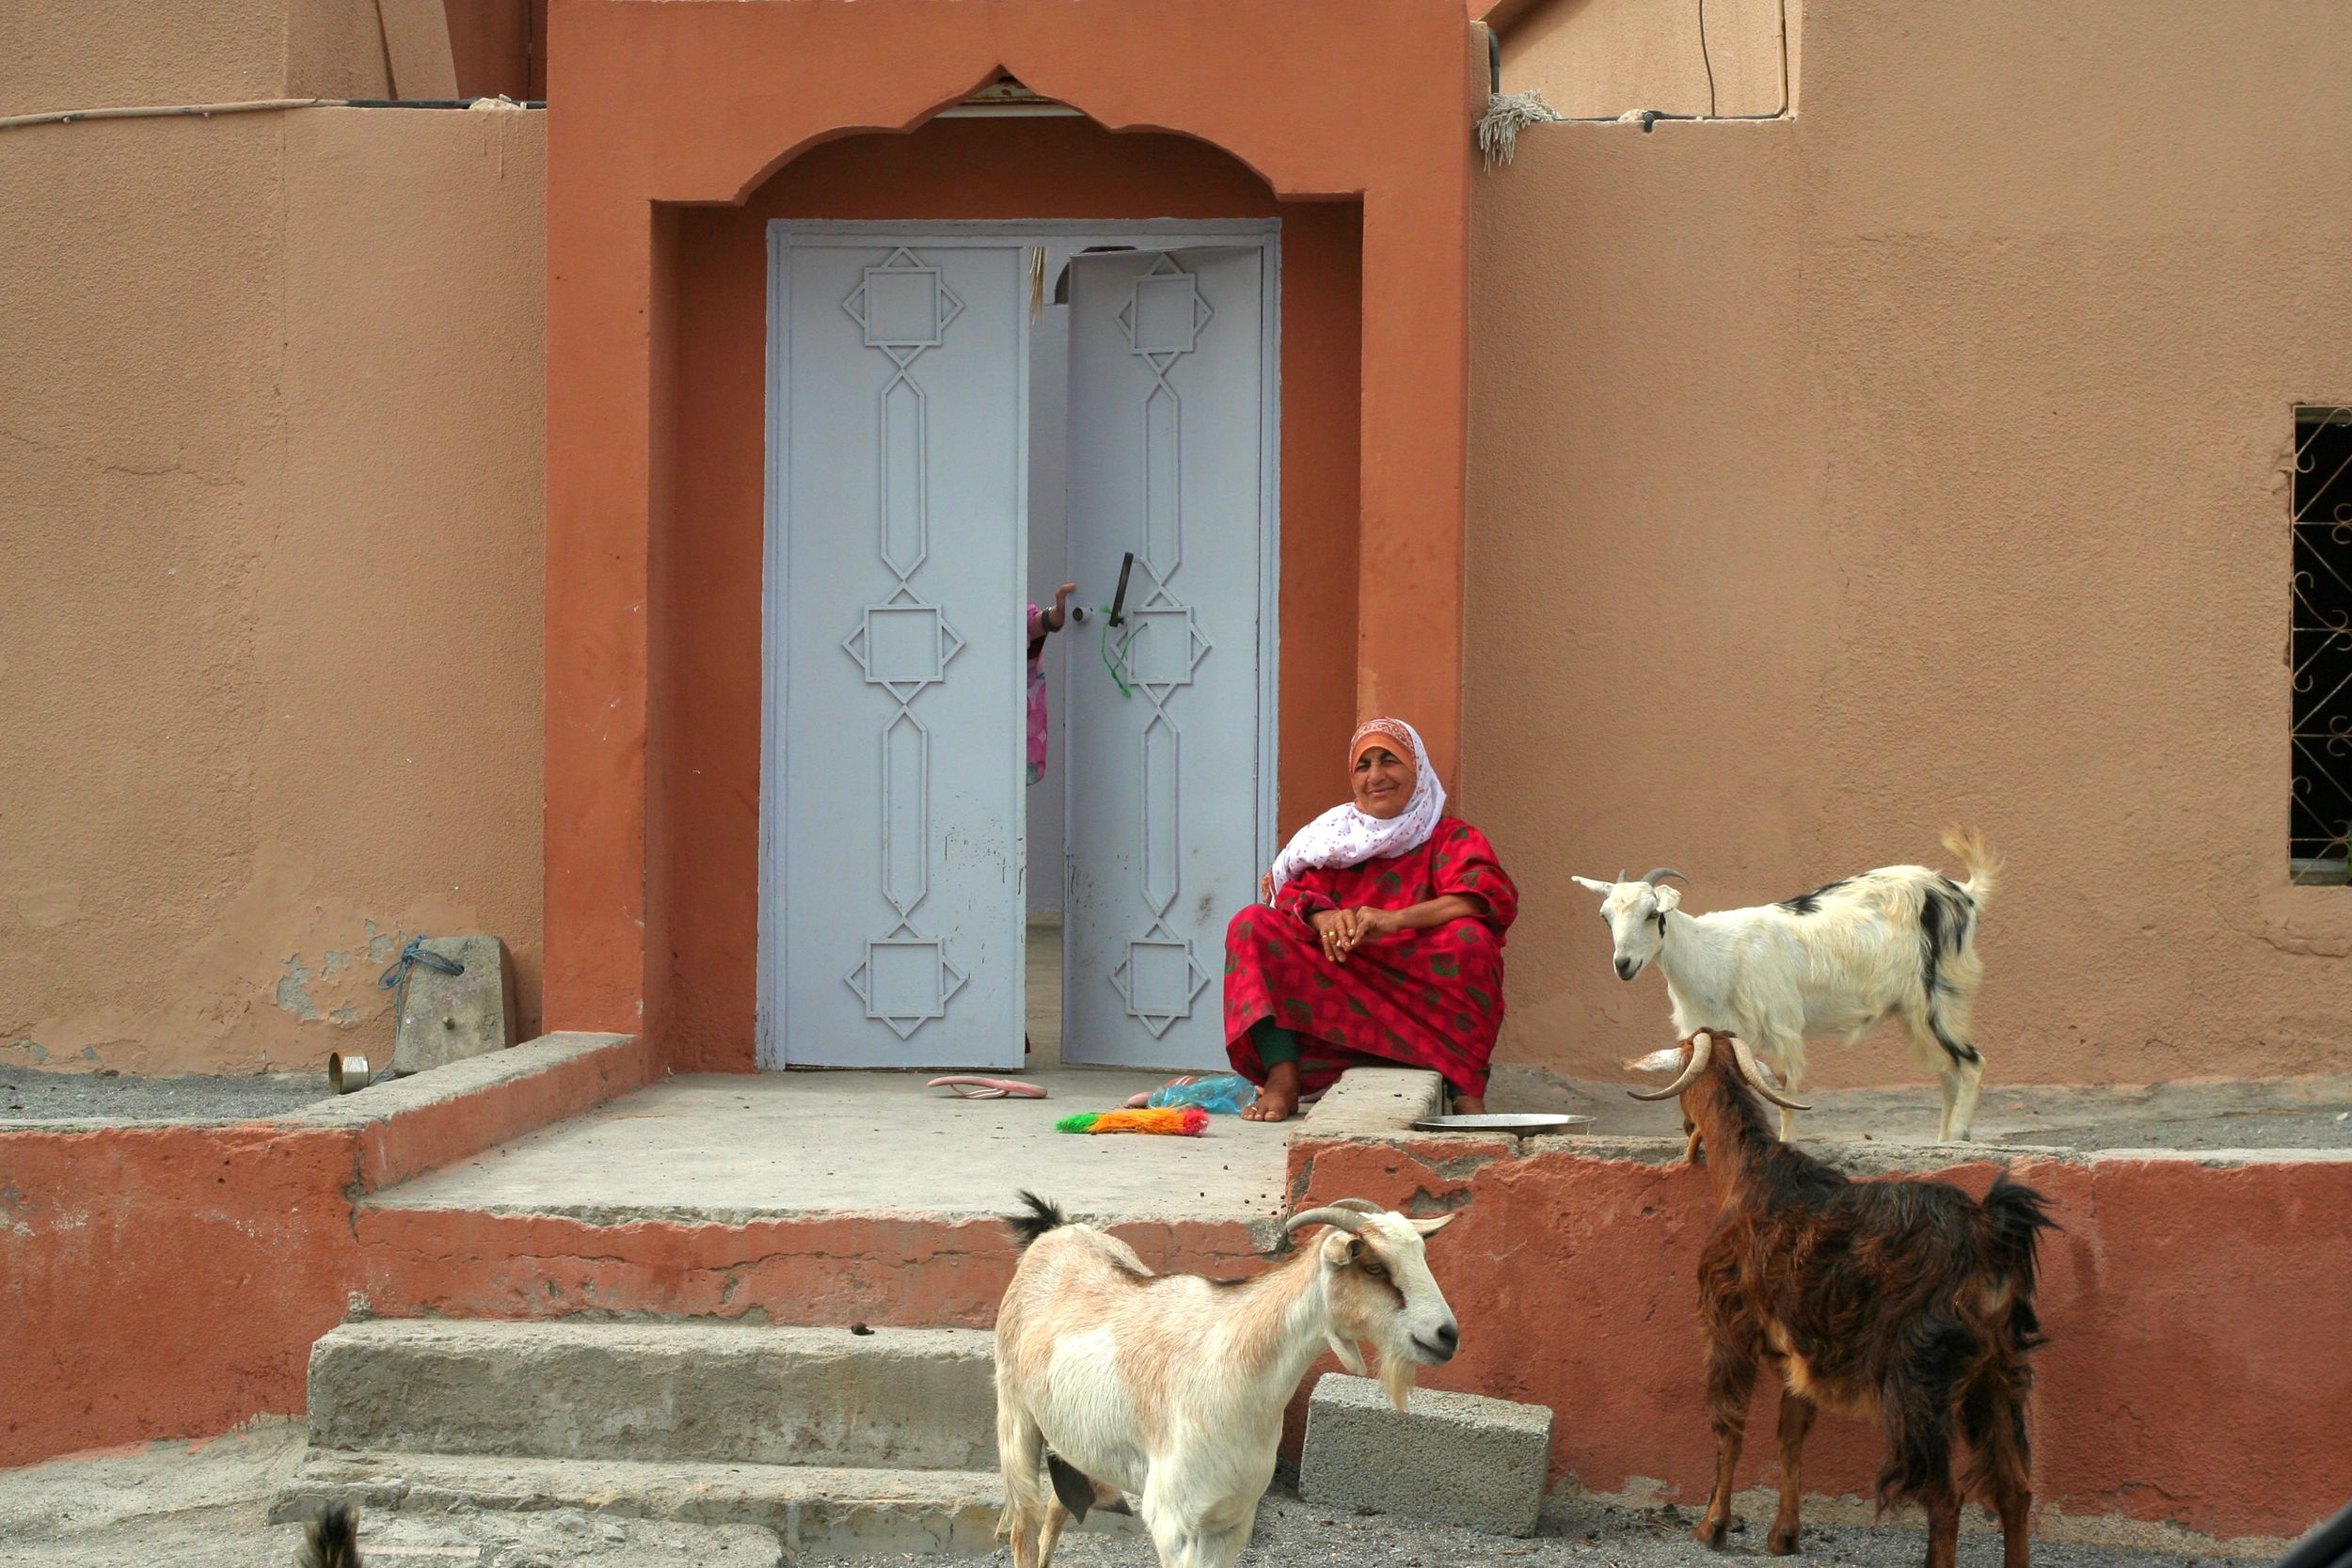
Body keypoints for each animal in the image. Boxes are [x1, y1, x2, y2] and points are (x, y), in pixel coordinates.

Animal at [988, 1189, 1449, 1568]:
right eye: (1373, 1266)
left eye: (1423, 1258)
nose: (1447, 1335)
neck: (1232, 1361)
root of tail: (1057, 1232)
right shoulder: (1173, 1522)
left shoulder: (1230, 1520)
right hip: (1015, 1416)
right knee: (1023, 1528)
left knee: (1057, 1506)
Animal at [1637, 1029, 2060, 1568]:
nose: (1686, 1127)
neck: (1747, 1173)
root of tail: (1988, 1232)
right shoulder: (1798, 1354)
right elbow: (1791, 1434)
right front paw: (1785, 1536)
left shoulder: (1728, 1325)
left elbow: (1728, 1424)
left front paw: (1712, 1526)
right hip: (2000, 1373)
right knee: (2015, 1491)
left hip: (1918, 1383)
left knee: (1946, 1497)